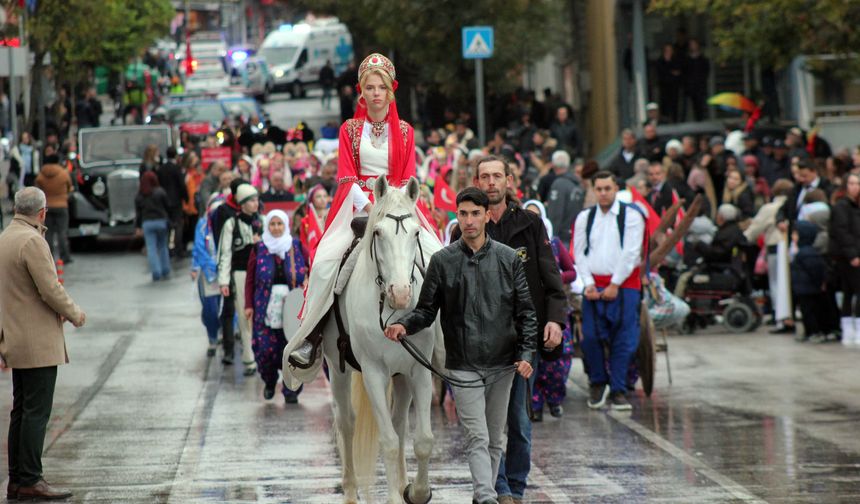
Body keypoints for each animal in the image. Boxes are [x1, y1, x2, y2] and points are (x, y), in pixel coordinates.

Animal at [322, 176, 444, 504]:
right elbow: (387, 442)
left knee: (400, 422)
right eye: (378, 233)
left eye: (416, 232)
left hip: (400, 375)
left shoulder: (419, 370)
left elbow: (423, 439)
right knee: (347, 423)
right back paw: (351, 492)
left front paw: (416, 491)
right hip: (338, 369)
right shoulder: (374, 373)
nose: (400, 293)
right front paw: (393, 495)